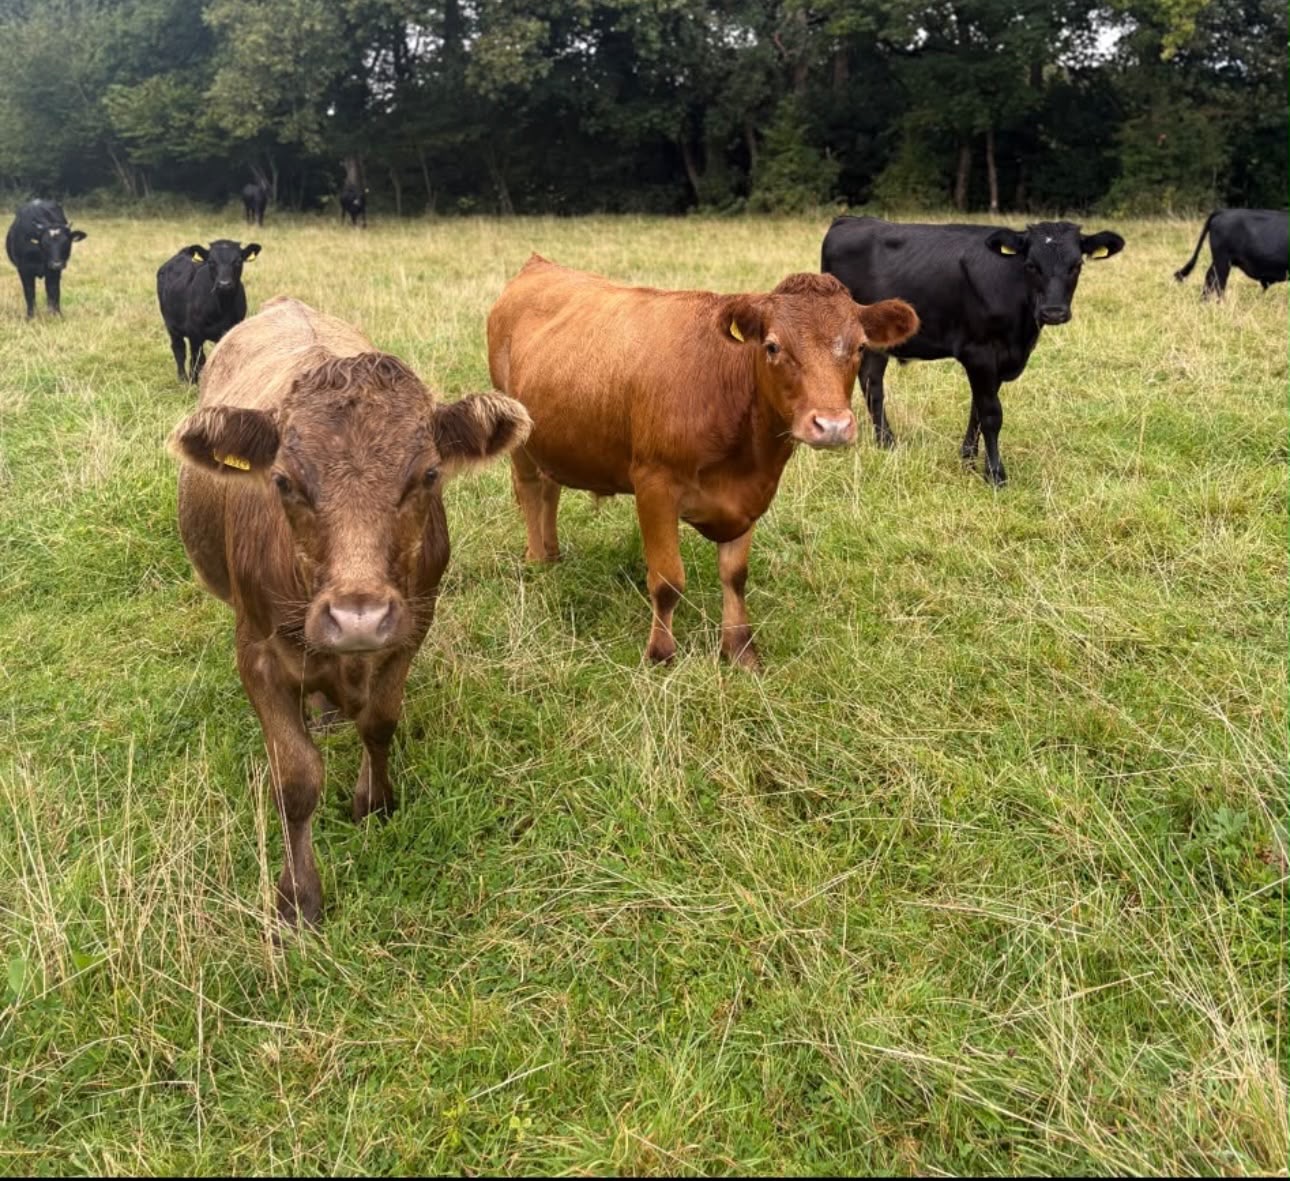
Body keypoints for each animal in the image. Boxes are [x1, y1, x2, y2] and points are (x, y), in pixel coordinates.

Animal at [156, 240, 261, 382]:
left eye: (238, 261)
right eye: (211, 261)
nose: (224, 284)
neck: (222, 308)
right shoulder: (194, 333)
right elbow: (197, 360)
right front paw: (193, 383)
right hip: (171, 325)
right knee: (179, 349)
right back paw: (183, 379)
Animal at [168, 296, 531, 926]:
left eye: (428, 475)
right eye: (283, 481)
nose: (357, 616)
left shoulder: (411, 625)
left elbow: (380, 722)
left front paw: (375, 801)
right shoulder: (255, 652)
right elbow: (295, 778)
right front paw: (298, 896)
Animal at [487, 256, 918, 668]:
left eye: (860, 347)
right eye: (773, 346)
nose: (832, 425)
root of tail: (539, 264)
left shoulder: (749, 496)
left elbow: (735, 576)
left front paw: (741, 651)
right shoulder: (654, 485)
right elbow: (667, 581)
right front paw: (661, 655)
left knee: (550, 490)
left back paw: (552, 554)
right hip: (518, 432)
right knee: (531, 490)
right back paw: (538, 562)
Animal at [822, 216, 1125, 486]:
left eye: (1076, 265)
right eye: (1031, 265)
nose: (1053, 312)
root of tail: (849, 219)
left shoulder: (1001, 359)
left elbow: (977, 410)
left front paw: (968, 459)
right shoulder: (979, 353)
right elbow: (991, 414)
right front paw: (995, 475)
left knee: (872, 384)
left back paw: (886, 443)